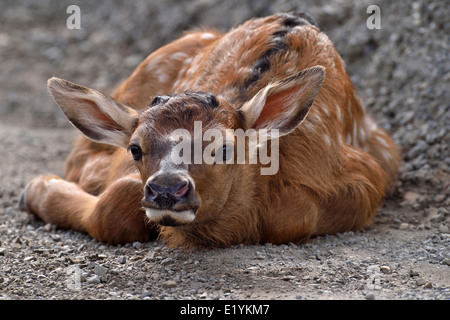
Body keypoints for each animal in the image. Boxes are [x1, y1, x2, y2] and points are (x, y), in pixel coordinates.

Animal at [21, 12, 400, 248]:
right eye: (135, 148)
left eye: (225, 148)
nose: (167, 189)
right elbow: (113, 207)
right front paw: (37, 188)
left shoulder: (364, 177)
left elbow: (296, 215)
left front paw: (38, 187)